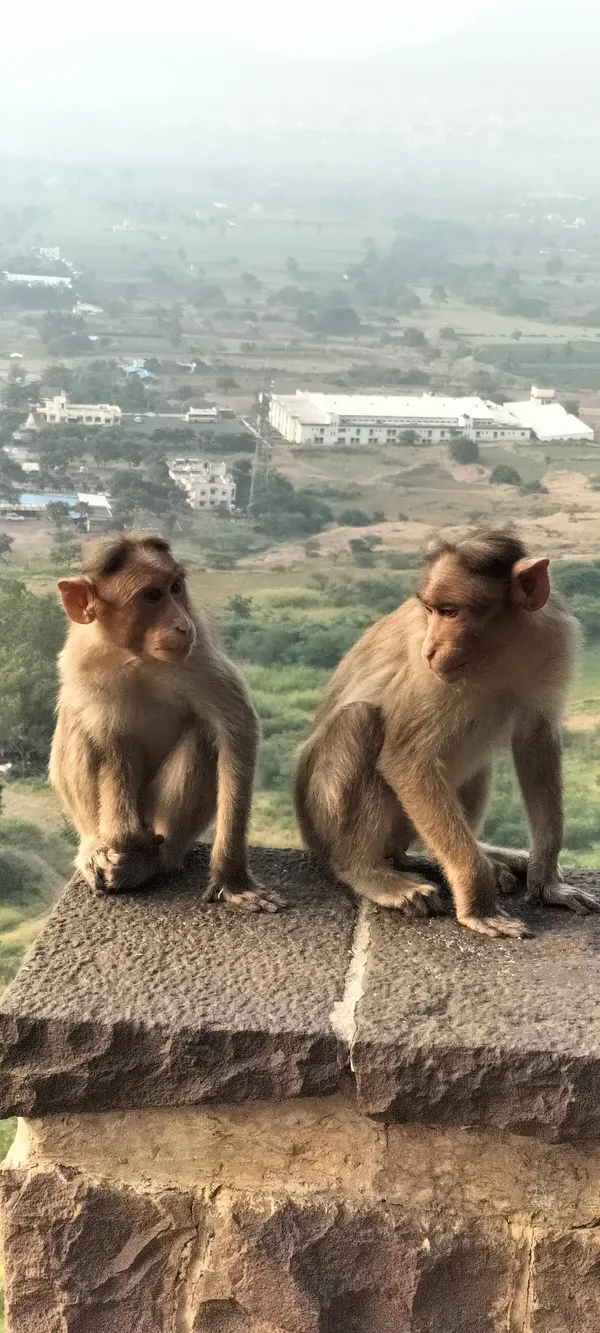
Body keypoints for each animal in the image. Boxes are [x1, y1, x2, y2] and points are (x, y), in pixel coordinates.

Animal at [48, 535, 284, 911]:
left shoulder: (198, 652)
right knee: (75, 718)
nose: (181, 624)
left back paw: (153, 862)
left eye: (175, 588)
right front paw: (120, 838)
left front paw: (231, 879)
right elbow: (113, 743)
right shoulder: (81, 665)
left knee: (202, 737)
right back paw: (95, 847)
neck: (135, 656)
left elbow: (236, 731)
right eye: (152, 596)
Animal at [293, 525, 597, 943]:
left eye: (451, 611)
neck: (497, 653)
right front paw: (478, 901)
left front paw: (547, 881)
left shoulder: (552, 639)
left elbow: (536, 742)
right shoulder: (429, 677)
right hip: (321, 816)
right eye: (431, 611)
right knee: (361, 720)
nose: (431, 649)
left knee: (474, 761)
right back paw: (368, 871)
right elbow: (407, 761)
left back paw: (480, 857)